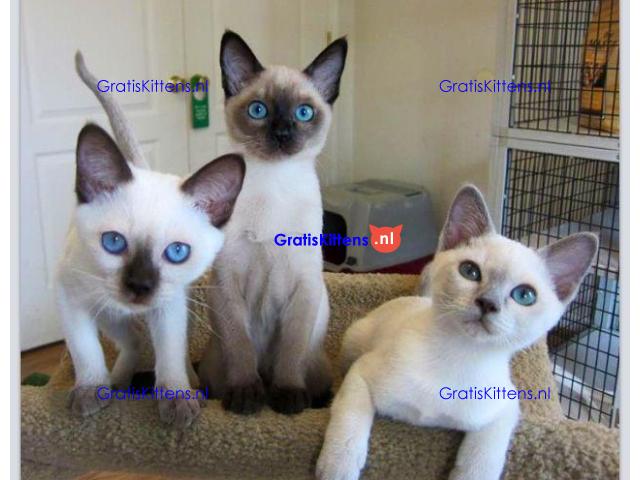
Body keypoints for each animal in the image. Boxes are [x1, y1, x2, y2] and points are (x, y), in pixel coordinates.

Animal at [58, 52, 245, 428]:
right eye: (113, 243)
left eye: (177, 252)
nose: (140, 287)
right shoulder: (72, 299)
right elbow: (85, 351)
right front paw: (90, 391)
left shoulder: (168, 307)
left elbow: (169, 356)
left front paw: (177, 401)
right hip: (108, 313)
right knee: (130, 342)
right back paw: (115, 383)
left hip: (179, 301)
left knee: (171, 349)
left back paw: (193, 386)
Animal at [197, 31, 348, 415]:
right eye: (258, 110)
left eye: (304, 113)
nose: (281, 133)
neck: (273, 184)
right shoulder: (228, 282)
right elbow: (241, 349)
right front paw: (246, 398)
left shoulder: (304, 286)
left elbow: (290, 353)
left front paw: (288, 398)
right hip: (214, 362)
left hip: (317, 362)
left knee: (313, 379)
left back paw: (305, 398)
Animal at [316, 185, 598, 480]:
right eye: (470, 271)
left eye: (525, 295)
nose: (488, 303)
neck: (459, 355)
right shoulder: (362, 374)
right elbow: (351, 418)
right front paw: (339, 466)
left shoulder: (506, 407)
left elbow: (484, 457)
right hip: (354, 341)